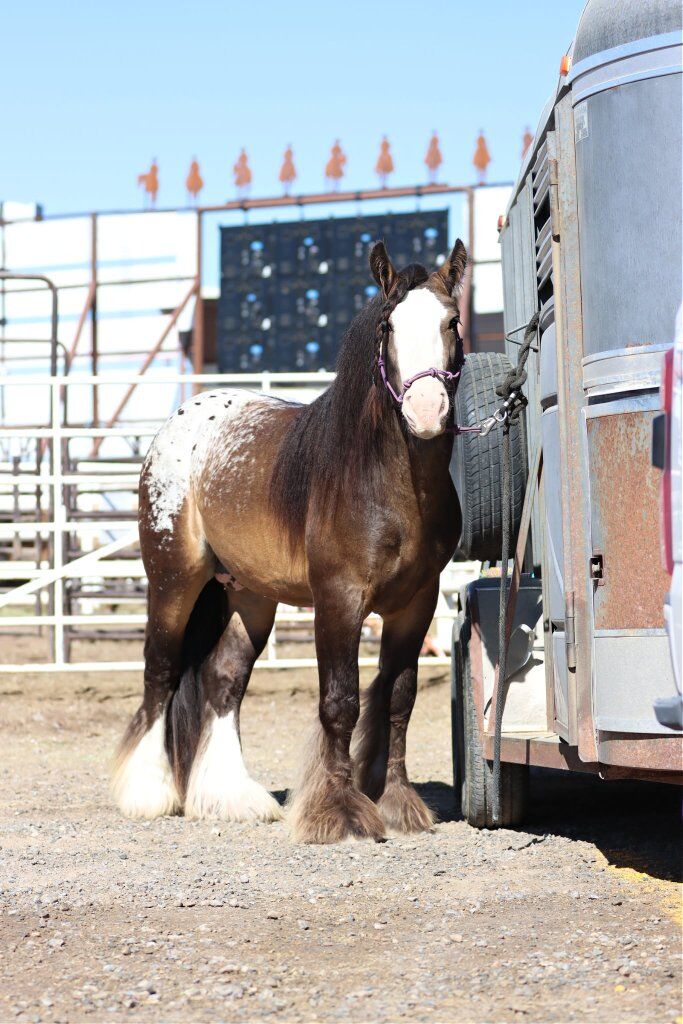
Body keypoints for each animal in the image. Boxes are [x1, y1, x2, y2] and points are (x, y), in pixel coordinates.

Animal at [112, 238, 467, 844]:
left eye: (452, 321)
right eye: (388, 327)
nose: (426, 413)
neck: (387, 486)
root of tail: (181, 422)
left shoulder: (415, 606)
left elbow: (399, 700)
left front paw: (398, 804)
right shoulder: (338, 600)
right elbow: (340, 703)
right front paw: (340, 813)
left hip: (250, 594)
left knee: (223, 679)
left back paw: (231, 797)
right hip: (173, 580)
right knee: (160, 672)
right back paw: (148, 793)